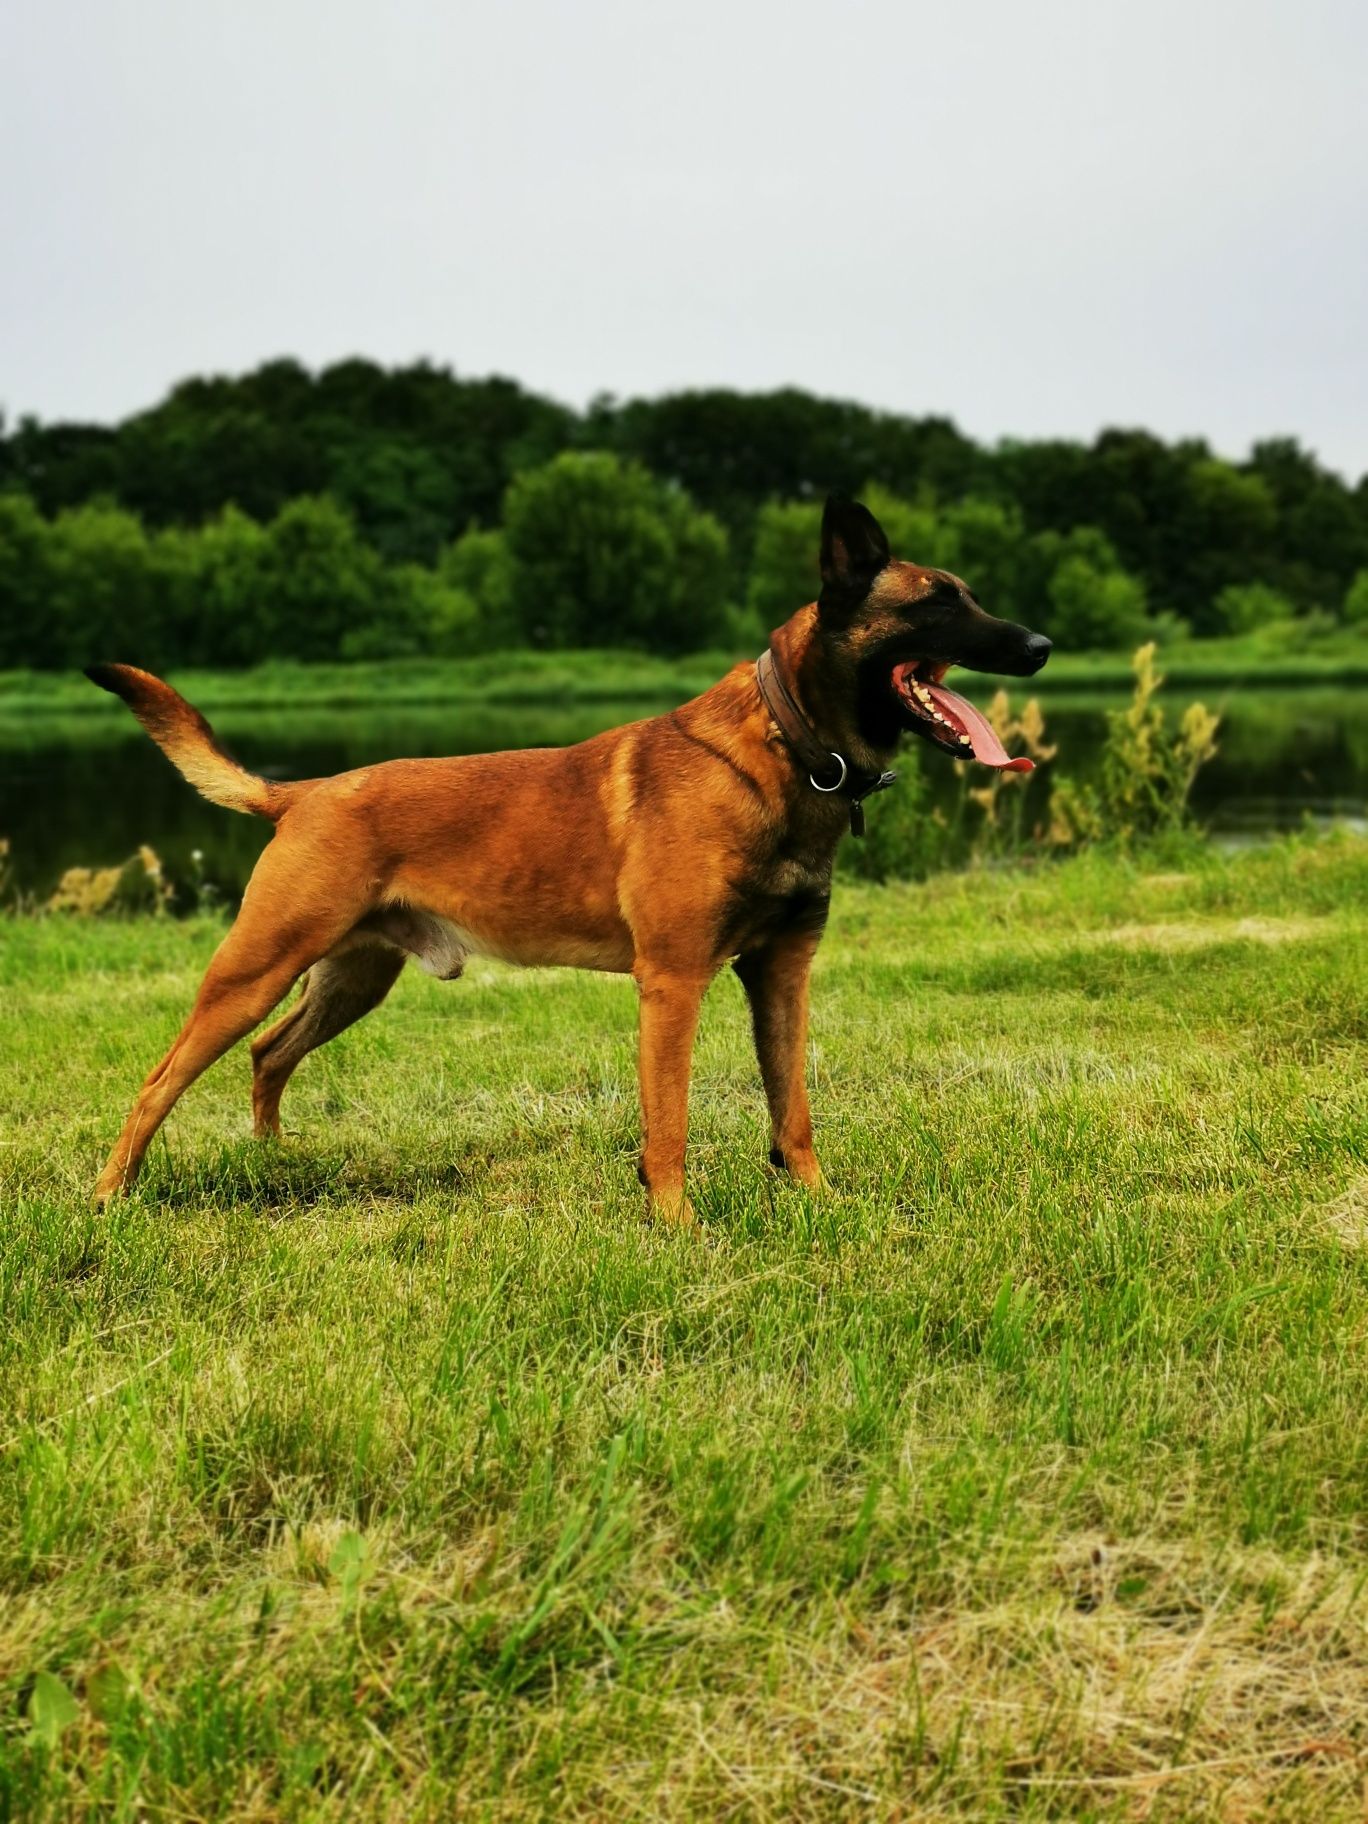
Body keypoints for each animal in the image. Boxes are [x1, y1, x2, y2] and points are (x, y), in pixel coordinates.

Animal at [88, 492, 1050, 1218]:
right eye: (937, 603)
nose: (1042, 645)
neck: (787, 743)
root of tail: (305, 792)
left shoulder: (782, 975)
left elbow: (794, 1110)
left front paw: (820, 1205)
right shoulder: (673, 983)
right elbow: (669, 1125)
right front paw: (677, 1227)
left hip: (351, 979)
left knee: (269, 1055)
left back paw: (273, 1161)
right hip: (254, 970)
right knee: (158, 1081)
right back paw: (109, 1197)